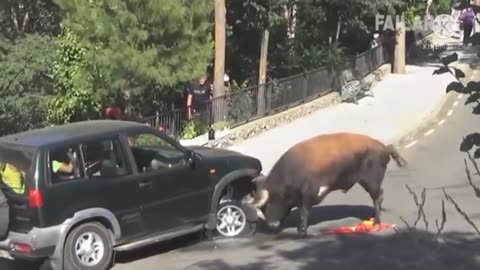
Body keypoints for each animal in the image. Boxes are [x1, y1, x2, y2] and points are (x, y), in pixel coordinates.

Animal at [249, 132, 406, 236]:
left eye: (267, 204)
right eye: (261, 208)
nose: (271, 225)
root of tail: (383, 147)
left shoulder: (308, 193)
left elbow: (304, 212)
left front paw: (302, 230)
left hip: (371, 181)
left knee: (378, 197)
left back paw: (377, 222)